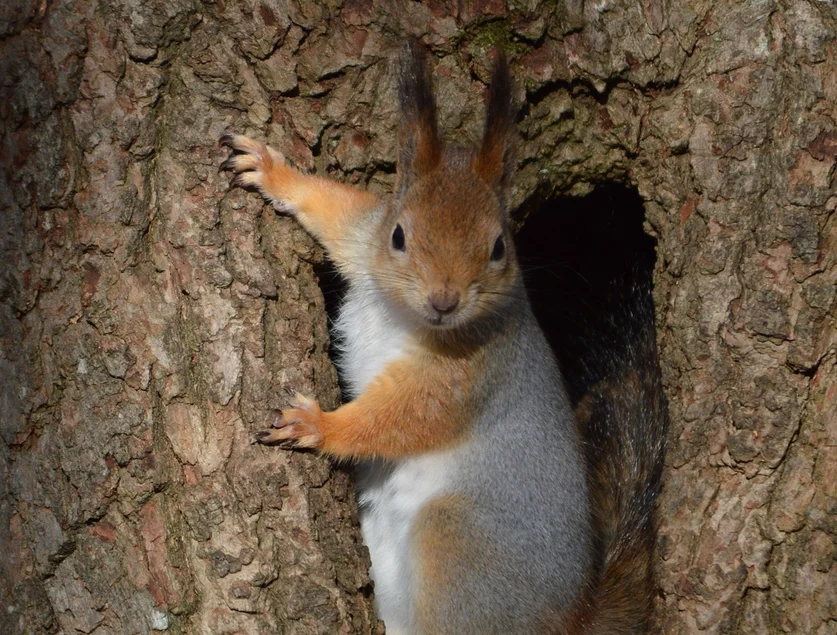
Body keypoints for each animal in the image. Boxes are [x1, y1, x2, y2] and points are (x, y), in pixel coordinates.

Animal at [220, 42, 668, 635]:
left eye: (500, 246)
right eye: (399, 234)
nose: (444, 300)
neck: (403, 316)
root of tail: (570, 619)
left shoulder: (470, 375)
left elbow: (406, 416)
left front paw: (318, 425)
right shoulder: (365, 238)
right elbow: (335, 211)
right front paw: (273, 172)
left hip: (454, 544)